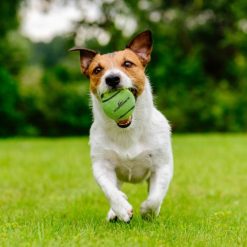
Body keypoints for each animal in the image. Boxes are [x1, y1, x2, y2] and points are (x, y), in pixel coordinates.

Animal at [69, 30, 174, 222]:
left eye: (128, 63)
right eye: (97, 70)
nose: (112, 78)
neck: (127, 131)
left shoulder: (162, 166)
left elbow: (155, 197)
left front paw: (148, 211)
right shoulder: (101, 165)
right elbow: (110, 191)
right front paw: (122, 208)